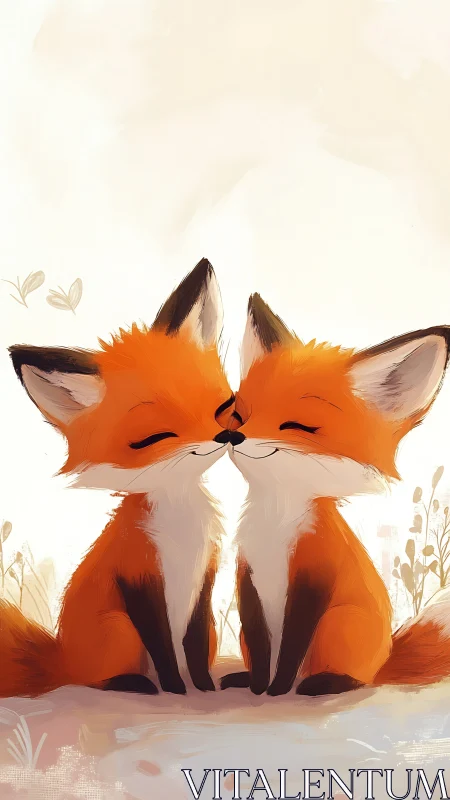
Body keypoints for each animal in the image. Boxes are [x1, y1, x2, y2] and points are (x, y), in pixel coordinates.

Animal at [0, 258, 235, 698]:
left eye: (224, 408)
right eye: (155, 437)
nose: (223, 438)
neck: (181, 524)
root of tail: (63, 660)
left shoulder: (204, 580)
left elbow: (193, 647)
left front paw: (202, 689)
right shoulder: (137, 577)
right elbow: (162, 646)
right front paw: (176, 691)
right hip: (119, 630)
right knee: (101, 679)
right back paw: (136, 685)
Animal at [219, 293, 450, 697]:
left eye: (298, 425)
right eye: (240, 414)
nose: (235, 436)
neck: (274, 526)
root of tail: (383, 662)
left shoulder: (315, 576)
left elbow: (292, 646)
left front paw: (277, 690)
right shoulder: (247, 577)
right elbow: (263, 649)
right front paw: (259, 687)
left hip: (338, 626)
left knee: (351, 678)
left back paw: (323, 683)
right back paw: (245, 678)